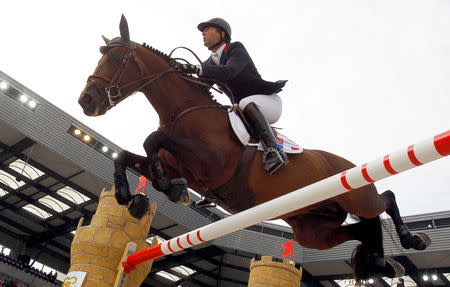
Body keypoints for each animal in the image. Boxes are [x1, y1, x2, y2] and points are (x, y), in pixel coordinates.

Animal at [79, 15, 430, 282]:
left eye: (116, 59)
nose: (86, 101)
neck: (183, 112)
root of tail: (346, 165)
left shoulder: (211, 162)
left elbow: (151, 139)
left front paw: (169, 190)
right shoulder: (181, 167)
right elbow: (129, 156)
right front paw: (132, 197)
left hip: (354, 194)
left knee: (384, 200)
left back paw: (412, 239)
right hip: (314, 229)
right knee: (362, 228)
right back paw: (382, 262)